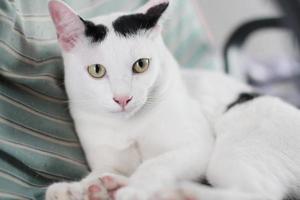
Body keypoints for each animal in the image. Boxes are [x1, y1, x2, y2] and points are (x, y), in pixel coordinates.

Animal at [46, 0, 300, 200]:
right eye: (96, 70)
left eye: (141, 65)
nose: (123, 98)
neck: (129, 127)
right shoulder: (108, 160)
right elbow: (100, 172)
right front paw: (78, 189)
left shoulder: (196, 147)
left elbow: (154, 163)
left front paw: (135, 189)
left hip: (237, 147)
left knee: (259, 194)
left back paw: (178, 193)